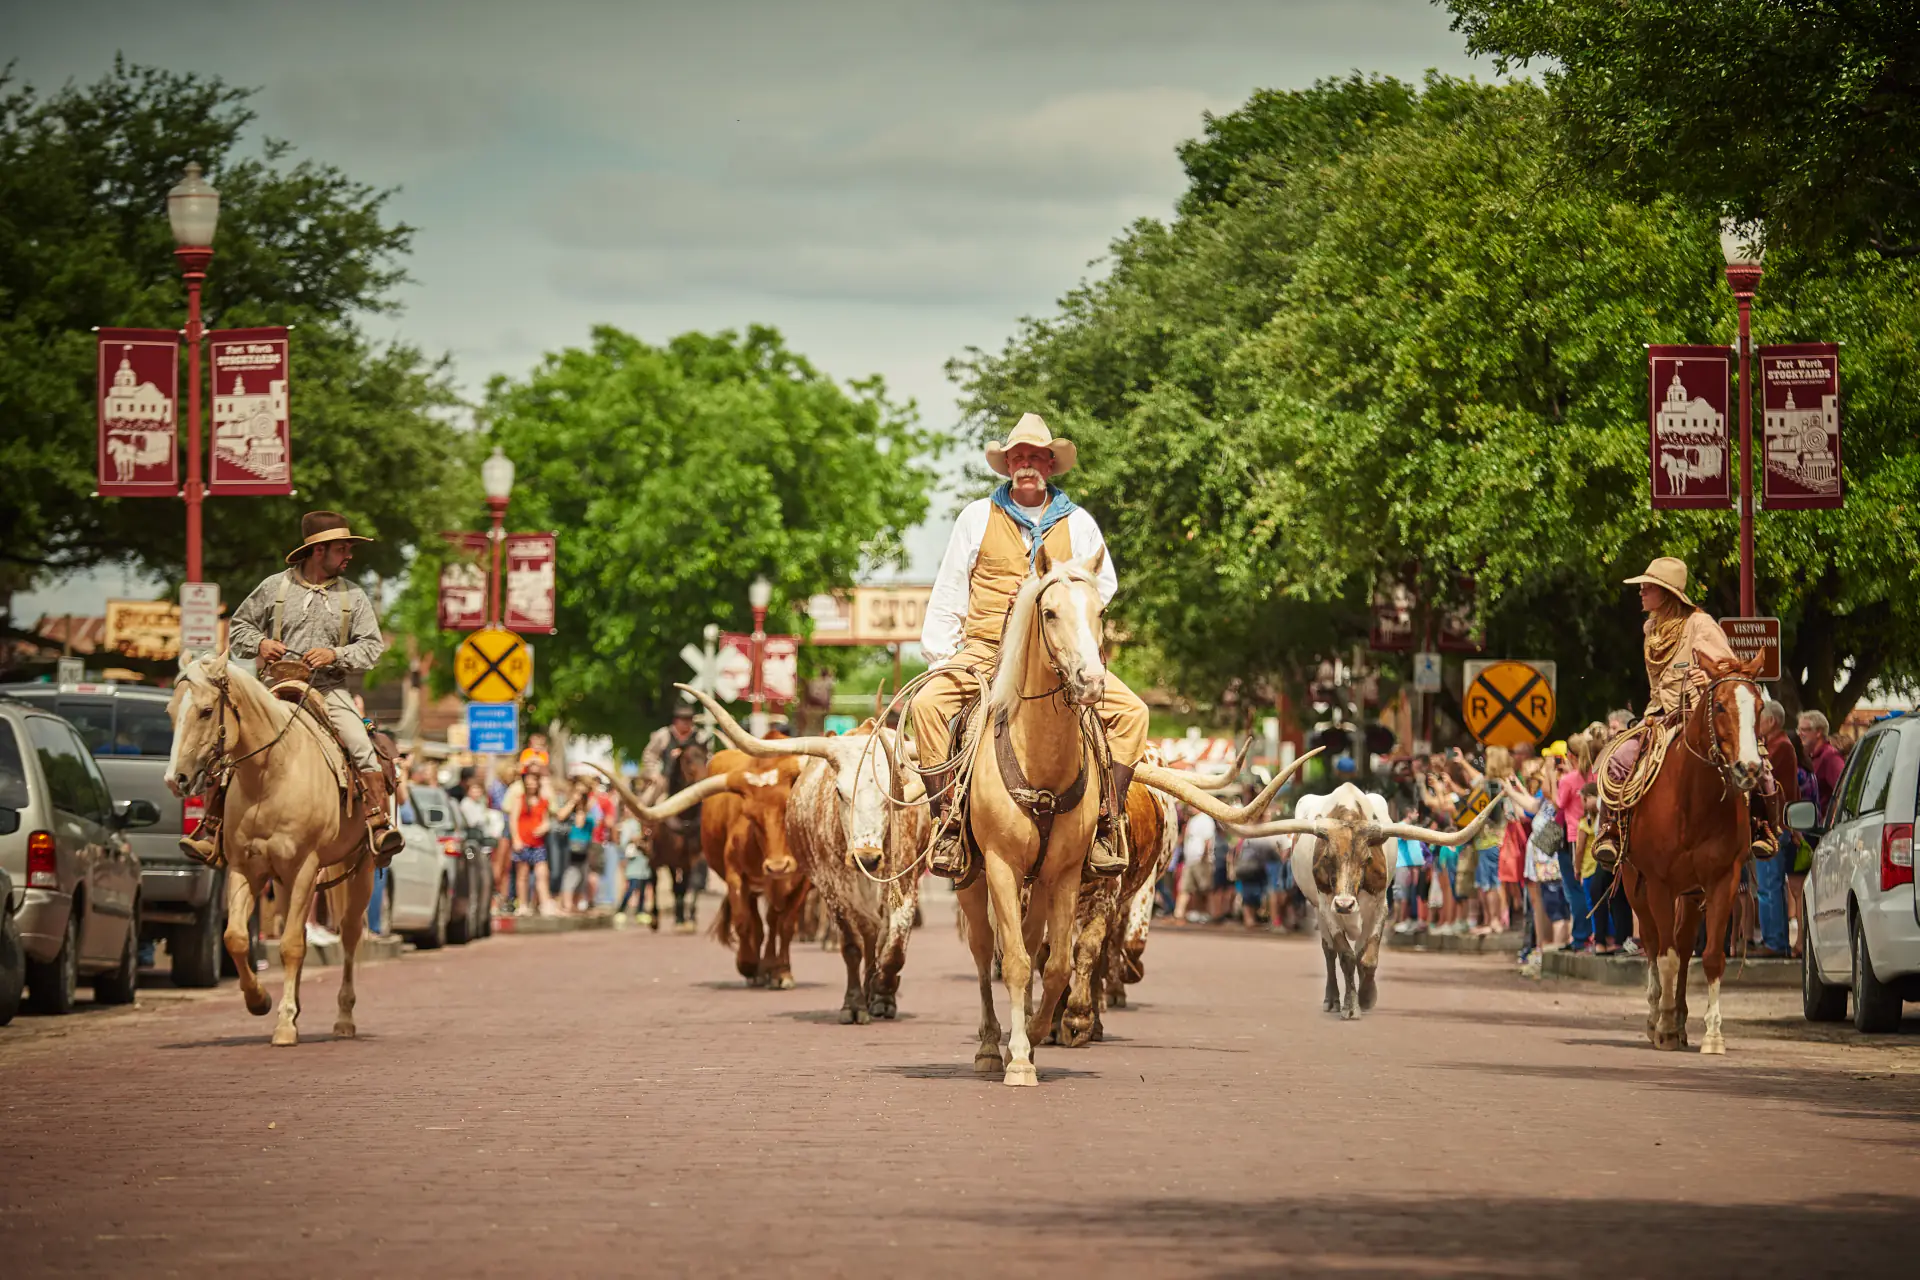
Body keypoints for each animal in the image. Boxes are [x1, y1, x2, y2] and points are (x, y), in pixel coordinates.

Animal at [165, 653, 380, 1047]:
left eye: (206, 711)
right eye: (171, 711)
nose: (176, 780)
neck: (269, 776)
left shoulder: (306, 868)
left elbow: (291, 944)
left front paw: (284, 1025)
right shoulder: (245, 868)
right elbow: (235, 938)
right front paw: (261, 1001)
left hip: (361, 870)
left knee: (349, 934)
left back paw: (343, 1018)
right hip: (282, 882)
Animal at [701, 748, 810, 989]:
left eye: (788, 807)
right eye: (750, 816)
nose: (777, 866)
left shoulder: (804, 882)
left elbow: (785, 925)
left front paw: (782, 972)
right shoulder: (736, 876)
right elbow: (743, 922)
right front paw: (748, 965)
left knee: (773, 922)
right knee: (758, 924)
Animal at [1236, 782, 1491, 1019]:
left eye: (1366, 859)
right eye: (1327, 856)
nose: (1345, 904)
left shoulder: (1380, 906)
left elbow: (1367, 958)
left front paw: (1367, 997)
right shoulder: (1328, 908)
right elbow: (1346, 957)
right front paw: (1351, 1006)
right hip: (1318, 909)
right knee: (1329, 952)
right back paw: (1332, 1000)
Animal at [1617, 654, 1768, 1054]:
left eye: (1759, 707)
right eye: (1720, 706)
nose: (1750, 769)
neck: (1693, 800)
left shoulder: (1723, 881)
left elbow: (1711, 957)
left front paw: (1713, 1034)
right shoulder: (1658, 884)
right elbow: (1665, 957)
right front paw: (1665, 1027)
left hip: (1690, 893)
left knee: (1685, 948)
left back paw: (1682, 1020)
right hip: (1635, 885)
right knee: (1654, 943)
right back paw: (1658, 1016)